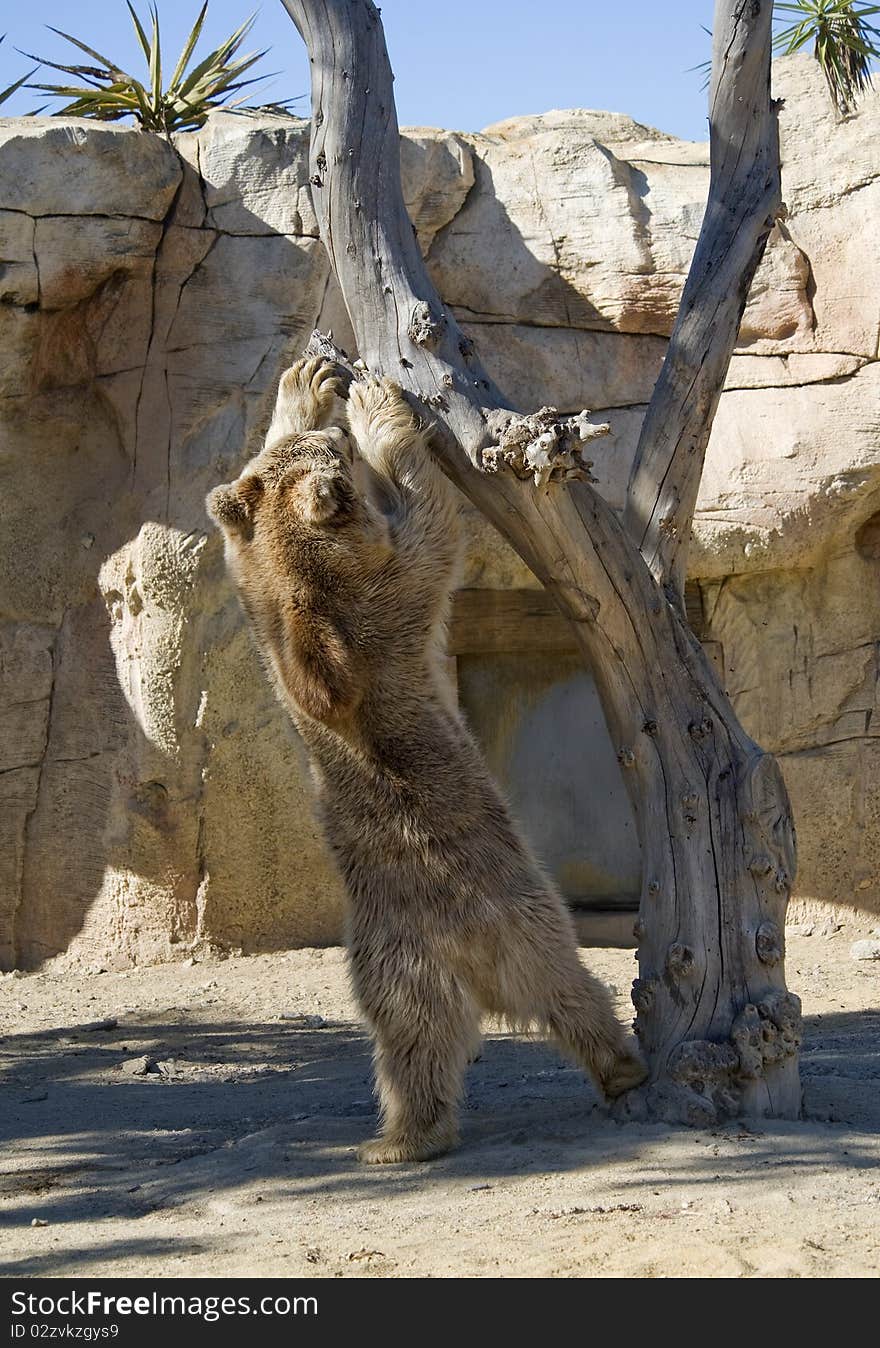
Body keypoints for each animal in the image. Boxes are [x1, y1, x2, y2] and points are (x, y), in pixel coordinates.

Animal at [206, 355, 644, 1159]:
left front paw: (305, 382)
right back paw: (620, 1062)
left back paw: (401, 1137)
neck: (304, 592)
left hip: (386, 965)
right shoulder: (379, 597)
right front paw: (380, 403)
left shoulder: (257, 591)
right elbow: (428, 525)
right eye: (336, 451)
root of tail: (457, 953)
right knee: (565, 984)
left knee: (408, 1043)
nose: (336, 429)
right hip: (517, 909)